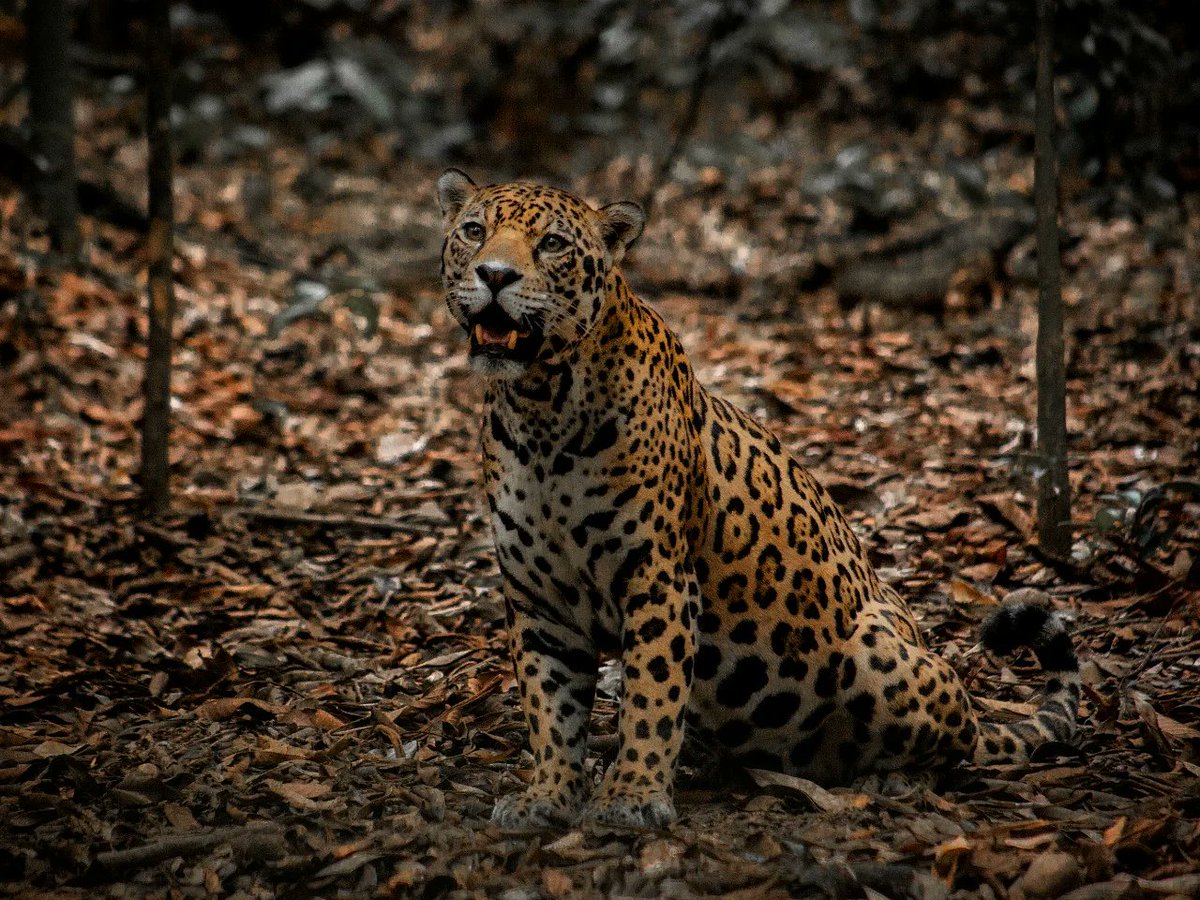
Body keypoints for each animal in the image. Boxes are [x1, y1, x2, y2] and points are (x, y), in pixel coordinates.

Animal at [436, 169, 1081, 830]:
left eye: (552, 245)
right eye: (474, 231)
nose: (494, 275)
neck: (541, 409)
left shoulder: (659, 579)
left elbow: (651, 695)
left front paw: (633, 795)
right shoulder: (539, 601)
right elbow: (551, 710)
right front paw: (548, 795)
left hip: (875, 650)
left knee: (959, 735)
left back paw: (895, 780)